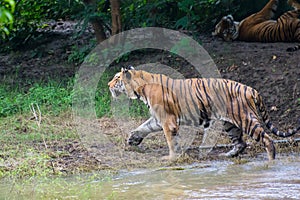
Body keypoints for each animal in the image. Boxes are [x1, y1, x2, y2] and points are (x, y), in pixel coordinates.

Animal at [108, 67, 300, 161]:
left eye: (117, 78)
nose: (108, 85)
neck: (140, 88)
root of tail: (251, 89)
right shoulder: (158, 118)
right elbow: (142, 127)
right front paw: (132, 139)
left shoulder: (167, 120)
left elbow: (170, 140)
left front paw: (171, 157)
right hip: (230, 123)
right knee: (241, 143)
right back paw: (227, 155)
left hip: (246, 119)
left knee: (268, 140)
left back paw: (271, 161)